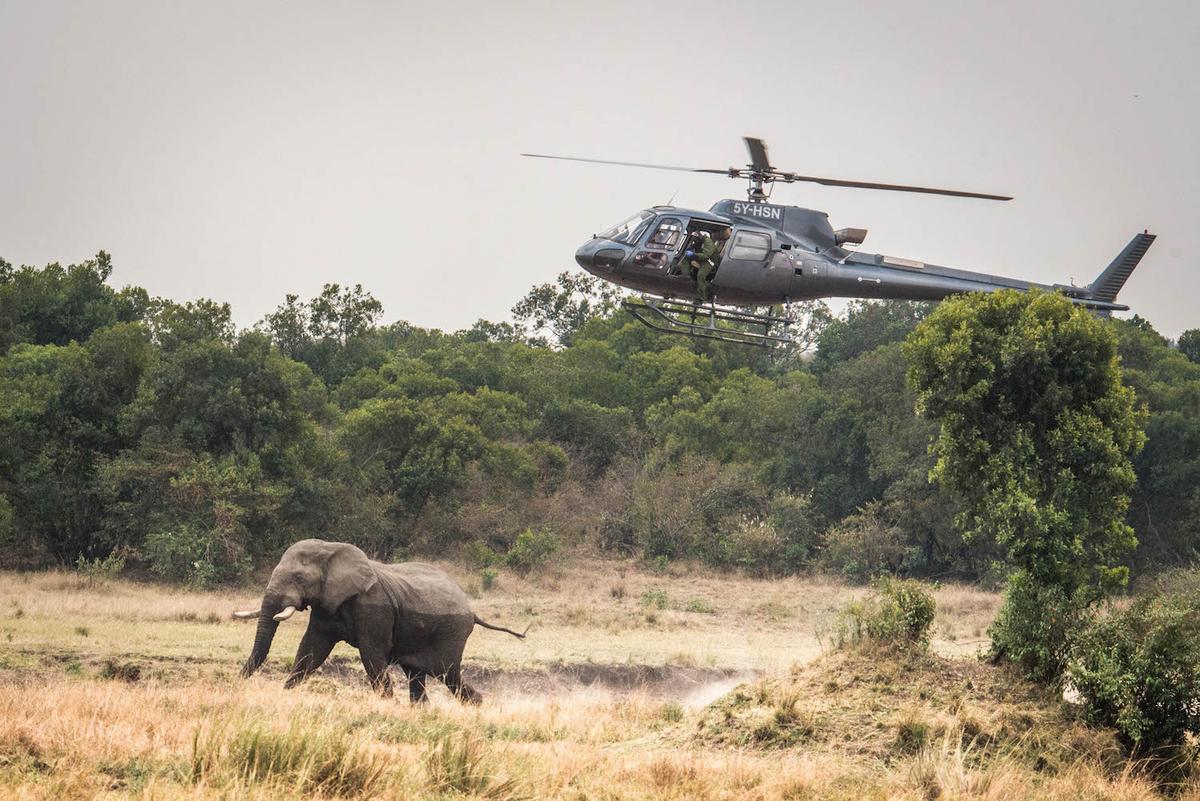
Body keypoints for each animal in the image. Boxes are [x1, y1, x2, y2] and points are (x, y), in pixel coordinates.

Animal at [234, 537, 525, 700]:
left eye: (298, 578)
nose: (237, 685)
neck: (331, 550)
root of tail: (472, 610)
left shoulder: (374, 608)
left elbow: (372, 655)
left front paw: (387, 704)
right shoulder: (326, 606)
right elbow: (311, 651)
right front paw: (286, 694)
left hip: (452, 633)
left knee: (447, 674)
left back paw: (479, 705)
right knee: (417, 678)